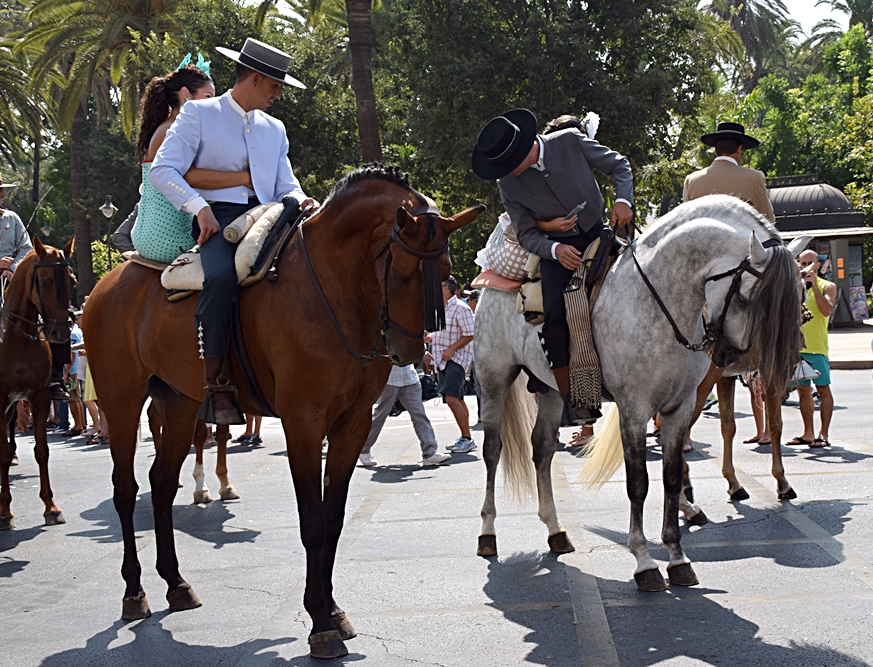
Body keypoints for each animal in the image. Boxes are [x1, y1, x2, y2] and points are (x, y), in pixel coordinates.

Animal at [0, 237, 76, 528]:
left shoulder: (40, 397)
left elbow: (42, 450)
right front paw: (5, 512)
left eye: (72, 280)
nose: (60, 333)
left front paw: (51, 507)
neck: (16, 338)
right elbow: (3, 453)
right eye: (43, 282)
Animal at [81, 166, 476, 656]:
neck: (332, 289)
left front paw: (333, 610)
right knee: (124, 488)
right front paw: (320, 622)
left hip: (178, 402)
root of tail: (108, 281)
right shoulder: (303, 424)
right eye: (402, 273)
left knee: (161, 484)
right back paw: (134, 592)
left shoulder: (351, 424)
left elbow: (333, 519)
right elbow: (312, 522)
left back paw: (176, 583)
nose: (410, 352)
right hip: (121, 399)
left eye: (445, 272)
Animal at [474, 196, 800, 592]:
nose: (732, 357)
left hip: (550, 390)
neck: (661, 302)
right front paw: (644, 560)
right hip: (494, 379)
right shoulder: (634, 411)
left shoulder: (678, 408)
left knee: (542, 449)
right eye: (744, 295)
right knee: (493, 450)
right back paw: (487, 533)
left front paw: (677, 557)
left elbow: (672, 478)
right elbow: (638, 483)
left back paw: (556, 531)